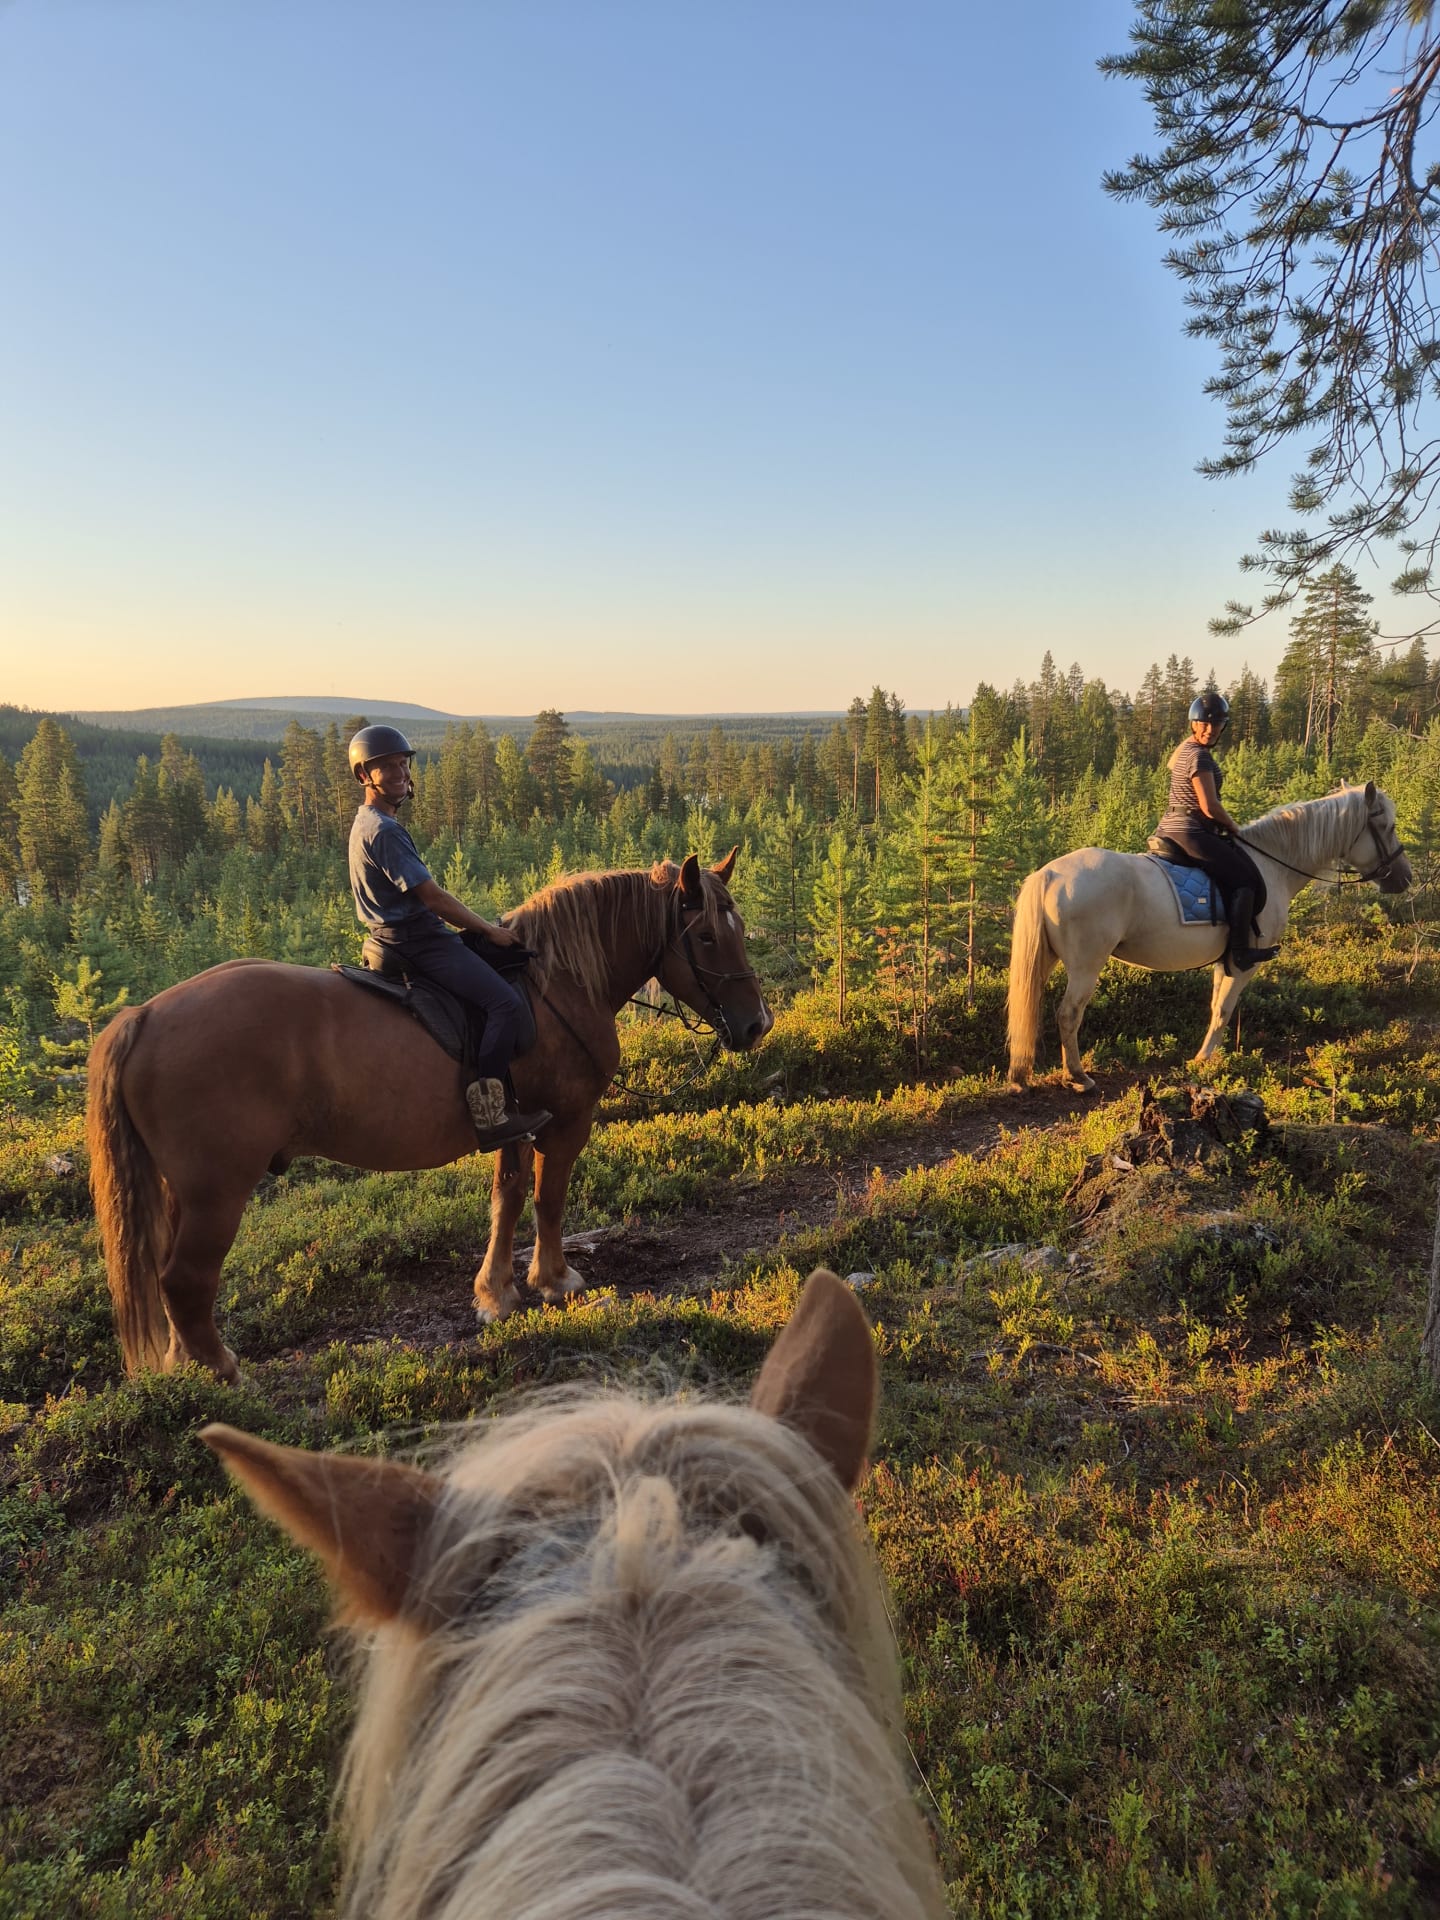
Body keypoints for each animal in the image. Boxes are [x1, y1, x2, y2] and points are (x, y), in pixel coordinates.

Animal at [88, 852, 771, 1383]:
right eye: (706, 937)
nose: (755, 1024)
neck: (557, 985)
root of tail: (143, 1015)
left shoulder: (517, 1122)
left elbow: (507, 1199)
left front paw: (497, 1293)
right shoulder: (566, 1120)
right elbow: (548, 1199)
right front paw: (554, 1280)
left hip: (181, 1192)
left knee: (170, 1280)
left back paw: (186, 1369)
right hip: (217, 1191)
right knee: (185, 1280)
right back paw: (225, 1373)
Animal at [1007, 781, 1411, 1093]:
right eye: (1388, 826)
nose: (1404, 878)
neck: (1273, 865)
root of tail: (1049, 874)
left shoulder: (1225, 960)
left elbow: (1216, 1006)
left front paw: (1208, 1056)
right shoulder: (1243, 962)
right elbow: (1223, 1009)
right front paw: (1203, 1060)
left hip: (1046, 959)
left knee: (1030, 1006)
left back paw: (1021, 1074)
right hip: (1085, 966)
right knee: (1068, 1014)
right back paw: (1078, 1077)